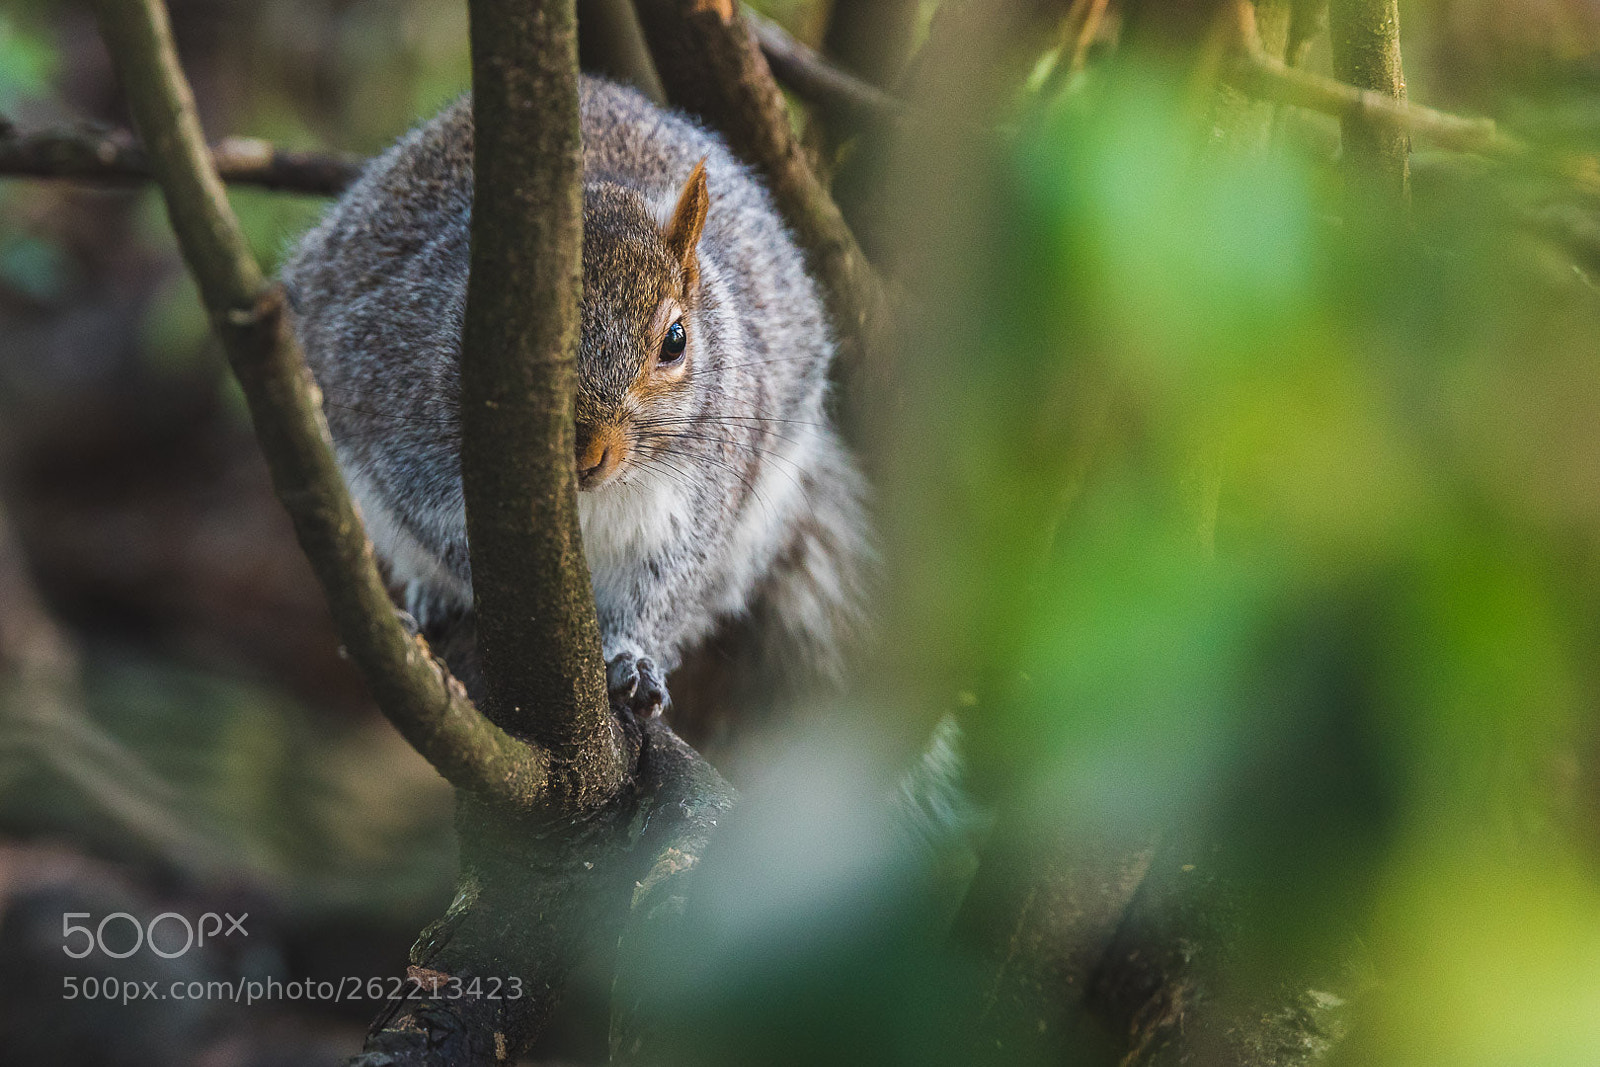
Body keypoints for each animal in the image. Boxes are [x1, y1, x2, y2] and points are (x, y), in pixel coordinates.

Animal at [281, 78, 870, 727]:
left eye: (676, 340)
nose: (588, 453)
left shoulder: (704, 495)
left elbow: (665, 586)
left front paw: (632, 658)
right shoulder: (400, 440)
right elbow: (443, 539)